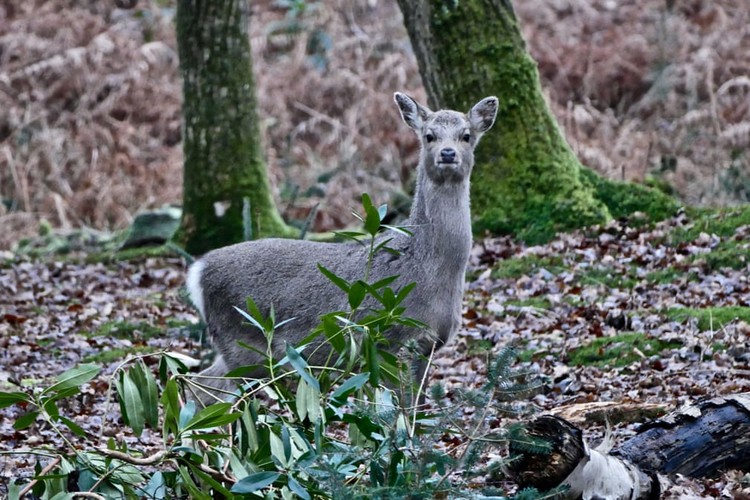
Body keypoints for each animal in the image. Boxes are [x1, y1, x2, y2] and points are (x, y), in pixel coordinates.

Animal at [186, 91, 500, 402]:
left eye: (466, 135)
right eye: (429, 136)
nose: (448, 153)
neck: (425, 265)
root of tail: (198, 271)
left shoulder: (428, 345)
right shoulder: (393, 337)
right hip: (243, 341)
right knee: (200, 388)